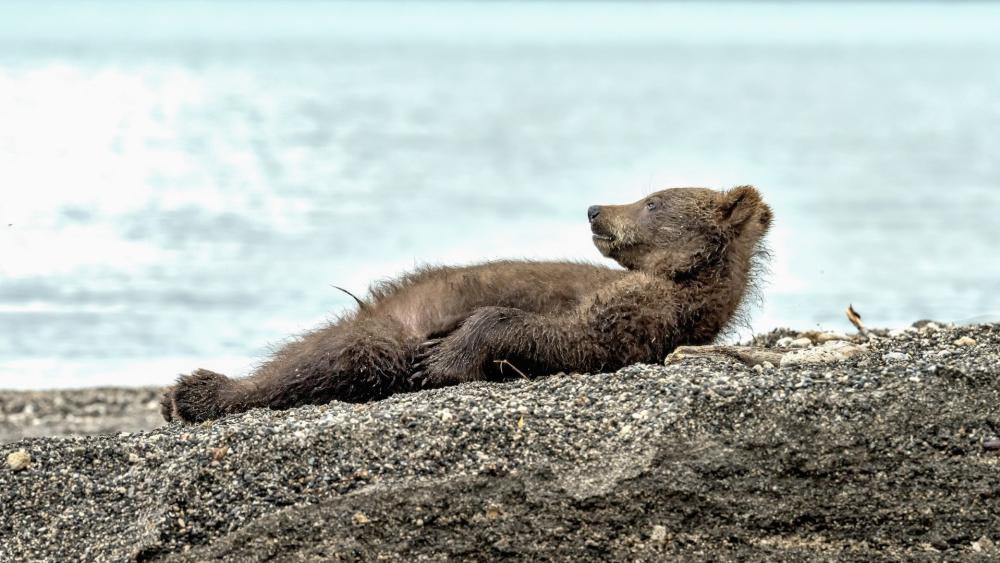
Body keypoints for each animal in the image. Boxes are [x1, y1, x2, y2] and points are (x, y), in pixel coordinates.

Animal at [161, 185, 772, 423]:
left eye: (652, 202)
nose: (595, 209)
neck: (676, 278)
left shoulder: (648, 318)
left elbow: (563, 336)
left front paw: (445, 358)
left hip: (384, 333)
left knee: (342, 356)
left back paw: (199, 393)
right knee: (310, 348)